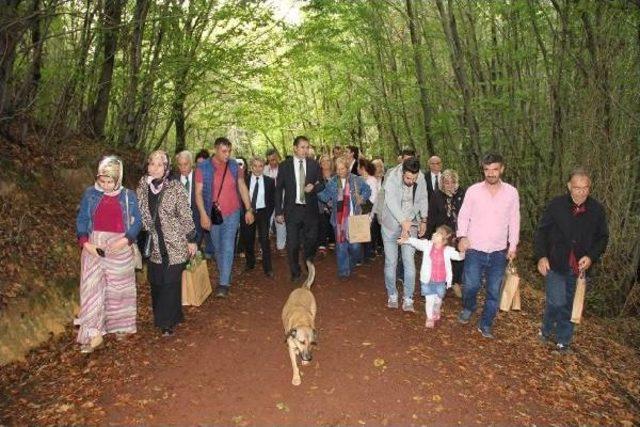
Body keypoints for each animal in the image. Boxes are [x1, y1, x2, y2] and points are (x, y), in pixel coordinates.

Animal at [282, 260, 318, 388]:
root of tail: (304, 288)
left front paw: (304, 360)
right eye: (302, 342)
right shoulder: (291, 349)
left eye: (312, 343)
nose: (310, 358)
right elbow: (294, 366)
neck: (301, 321)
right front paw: (296, 378)